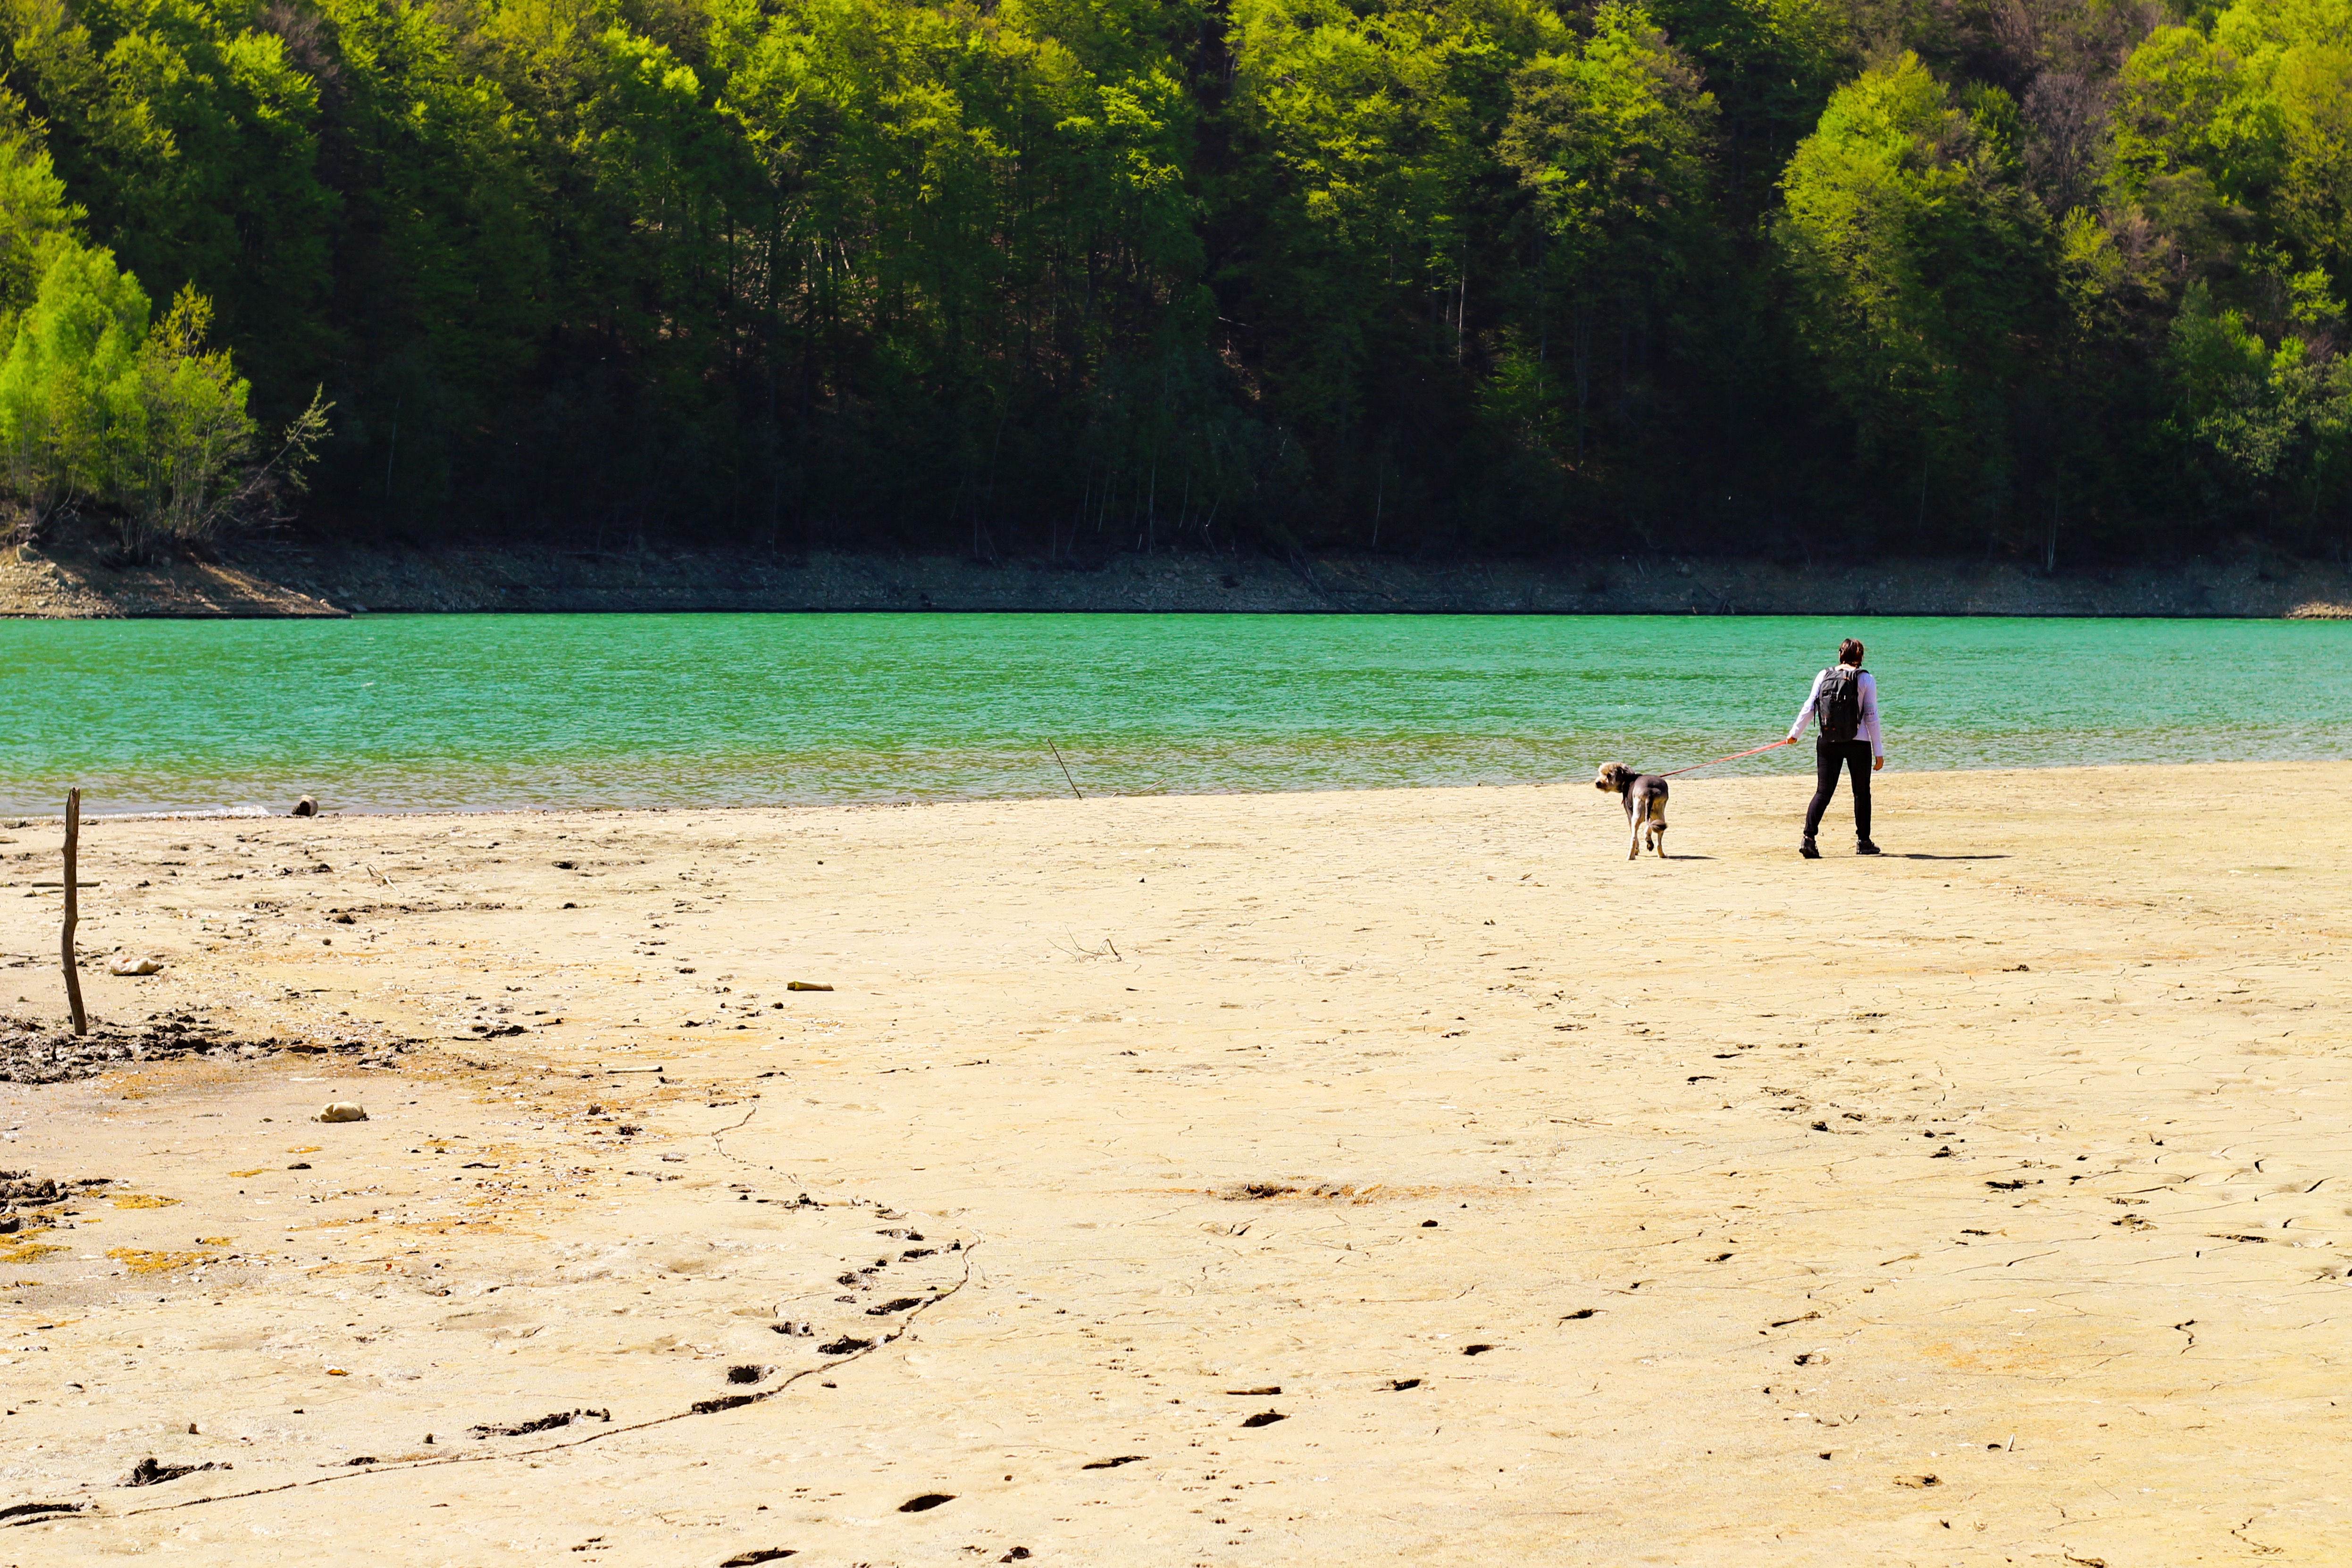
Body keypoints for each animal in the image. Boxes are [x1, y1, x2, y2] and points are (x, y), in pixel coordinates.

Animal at [1599, 762, 1674, 860]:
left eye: (1609, 775)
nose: (1597, 783)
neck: (1627, 780)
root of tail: (1650, 792)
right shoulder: (1652, 815)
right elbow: (1649, 827)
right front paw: (1649, 841)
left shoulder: (1630, 816)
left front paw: (1637, 850)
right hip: (1660, 813)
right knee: (1659, 839)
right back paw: (1662, 854)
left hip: (1637, 813)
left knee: (1634, 838)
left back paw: (1630, 856)